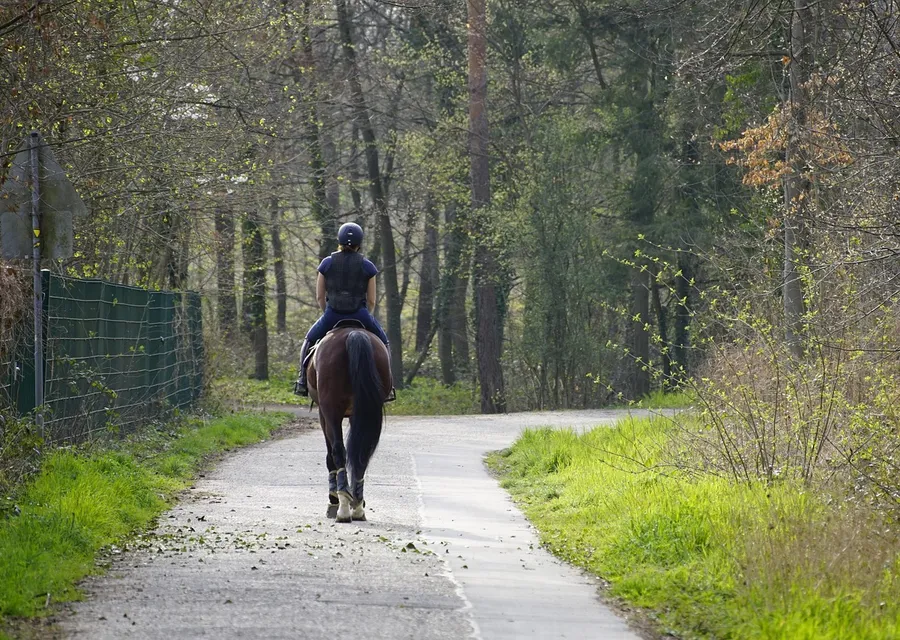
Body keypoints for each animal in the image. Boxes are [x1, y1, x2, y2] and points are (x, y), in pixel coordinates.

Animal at [306, 322, 392, 523]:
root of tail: (354, 334)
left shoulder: (323, 415)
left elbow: (330, 457)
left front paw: (333, 500)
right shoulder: (355, 415)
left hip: (331, 410)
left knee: (338, 451)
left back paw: (343, 507)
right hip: (367, 409)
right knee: (362, 453)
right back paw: (358, 505)